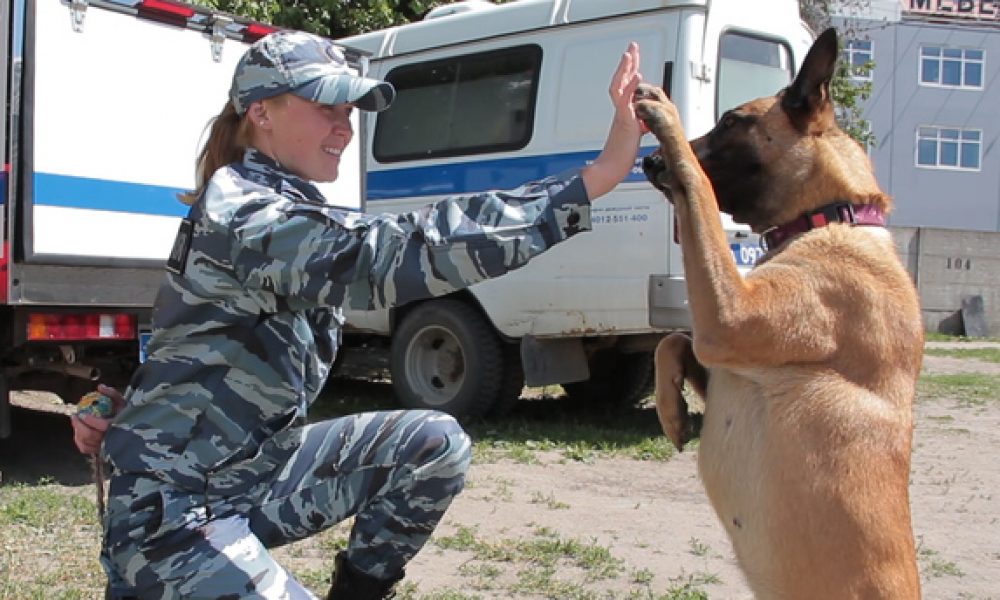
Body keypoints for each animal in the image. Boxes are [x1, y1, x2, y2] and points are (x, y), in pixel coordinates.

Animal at [636, 29, 924, 600]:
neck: (833, 215)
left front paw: (667, 119)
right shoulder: (726, 346)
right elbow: (671, 340)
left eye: (731, 121)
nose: (650, 163)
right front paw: (671, 411)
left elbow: (699, 192)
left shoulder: (730, 318)